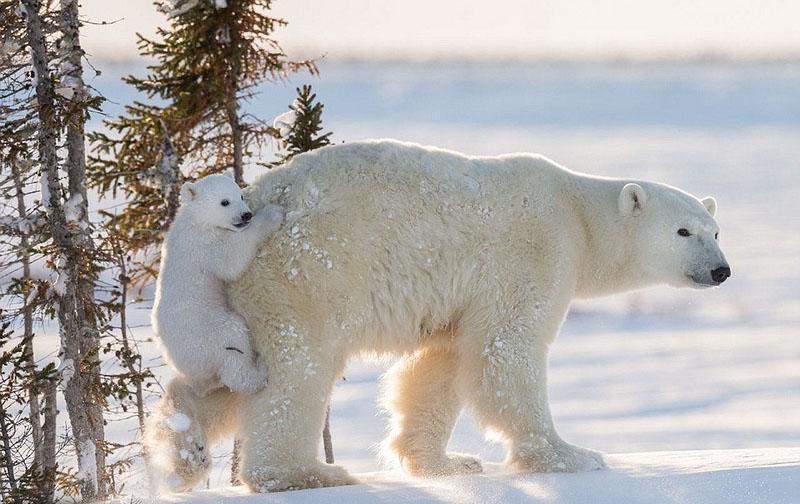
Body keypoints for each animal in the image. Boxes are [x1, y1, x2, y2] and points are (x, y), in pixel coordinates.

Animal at [152, 173, 286, 398]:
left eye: (240, 195)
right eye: (224, 202)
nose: (246, 215)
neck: (195, 220)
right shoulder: (204, 246)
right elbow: (232, 258)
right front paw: (272, 213)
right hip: (210, 333)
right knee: (234, 347)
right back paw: (259, 370)